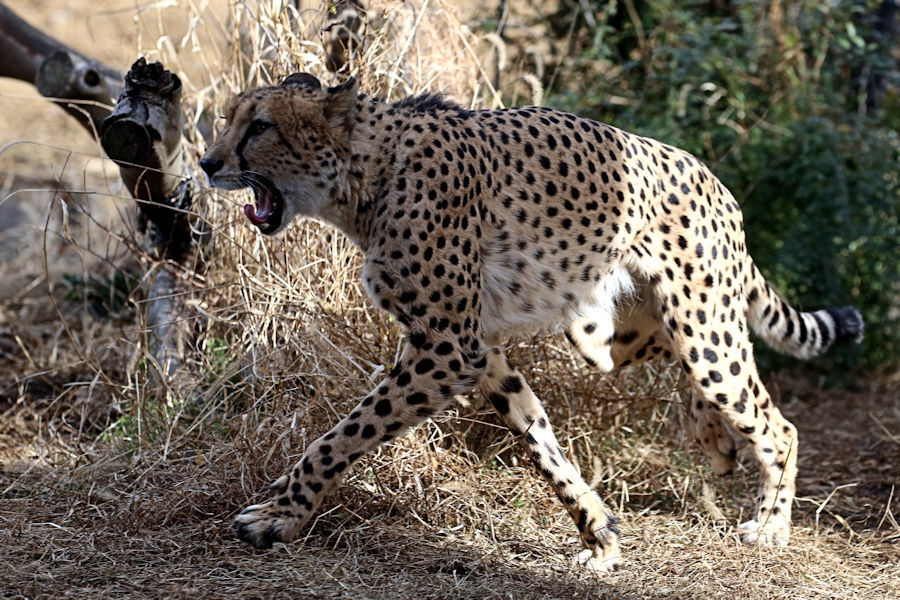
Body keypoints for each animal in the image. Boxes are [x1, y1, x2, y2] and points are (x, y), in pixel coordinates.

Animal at [200, 75, 860, 572]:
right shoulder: (477, 350)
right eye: (228, 118)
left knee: (775, 423)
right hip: (610, 335)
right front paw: (600, 532)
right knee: (700, 373)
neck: (365, 174)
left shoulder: (446, 350)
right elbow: (541, 442)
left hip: (701, 327)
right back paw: (715, 439)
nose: (207, 163)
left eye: (259, 126)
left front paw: (278, 516)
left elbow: (341, 436)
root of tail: (712, 177)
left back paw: (770, 525)